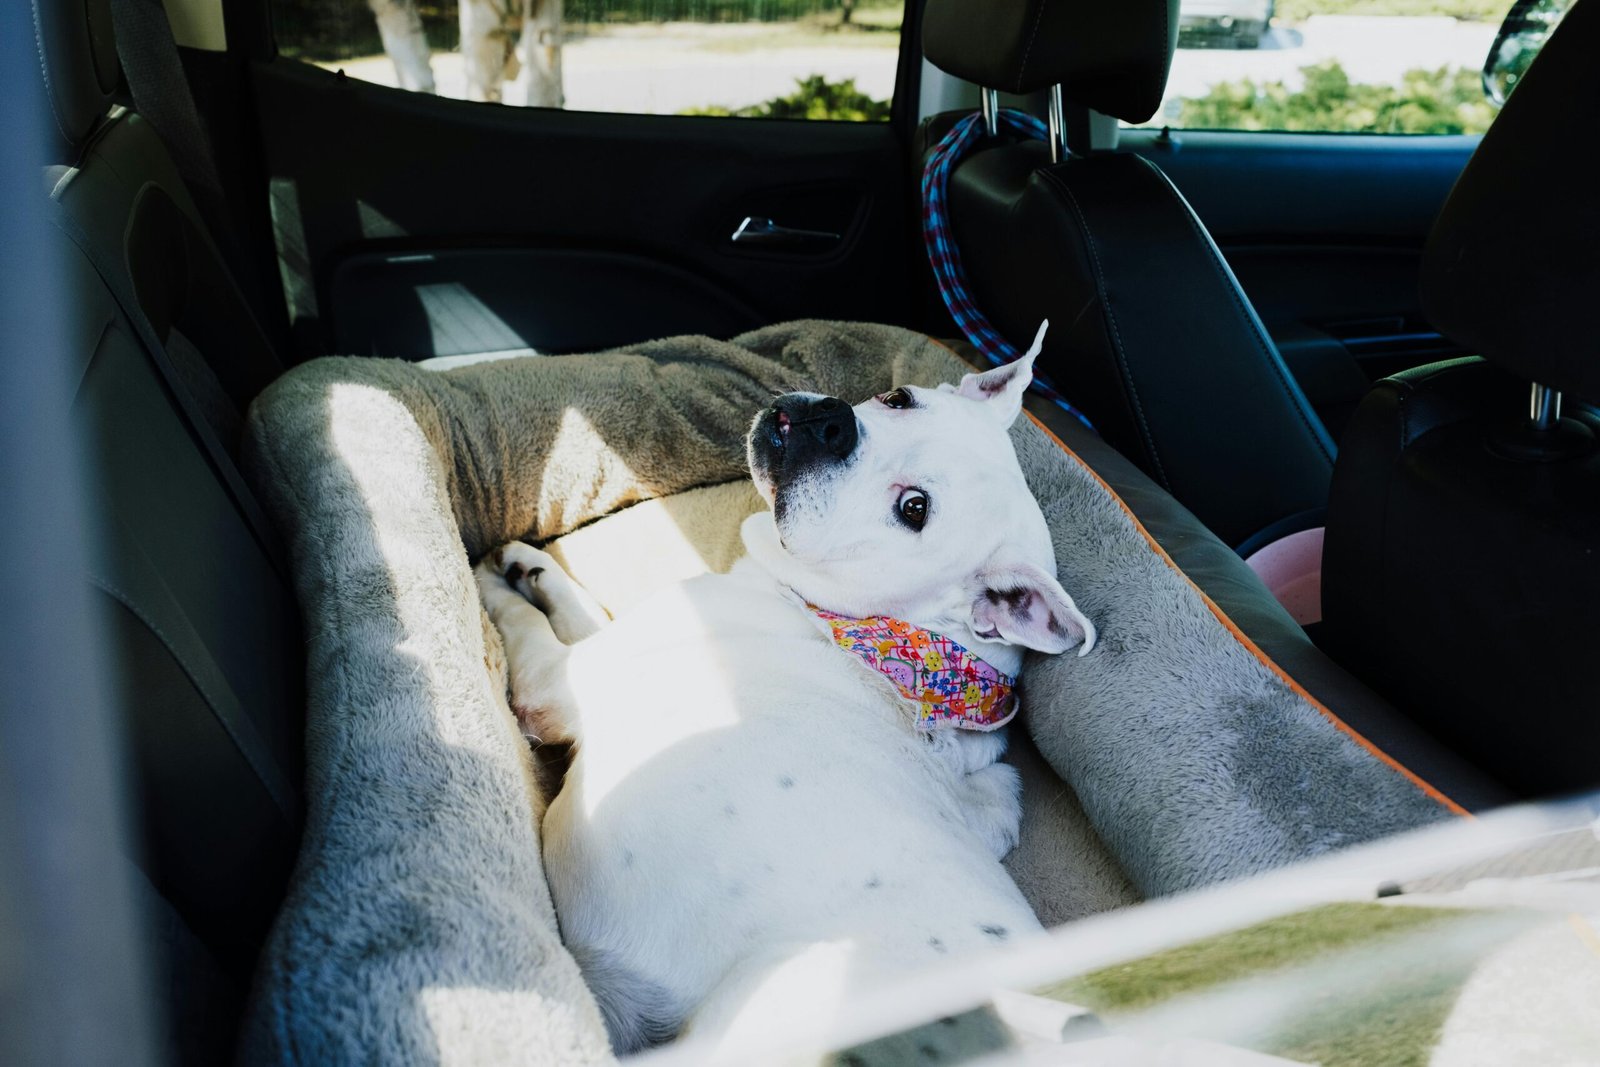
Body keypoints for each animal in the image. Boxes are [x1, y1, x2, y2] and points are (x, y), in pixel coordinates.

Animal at [476, 323, 1100, 1049]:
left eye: (914, 509)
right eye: (898, 398)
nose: (832, 422)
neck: (876, 634)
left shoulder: (557, 681)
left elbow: (524, 626)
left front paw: (488, 585)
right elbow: (582, 608)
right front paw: (531, 565)